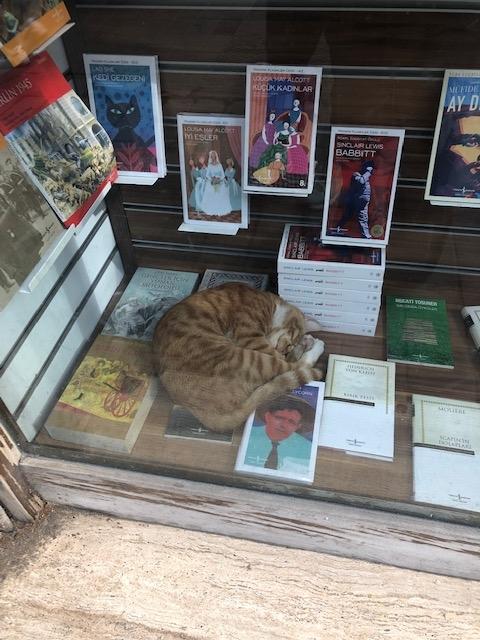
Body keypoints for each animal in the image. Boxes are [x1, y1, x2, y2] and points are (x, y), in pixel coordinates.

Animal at [152, 282, 324, 432]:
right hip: (249, 358)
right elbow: (286, 359)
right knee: (296, 365)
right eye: (289, 345)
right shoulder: (252, 338)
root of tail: (196, 409)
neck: (269, 302)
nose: (284, 350)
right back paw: (316, 346)